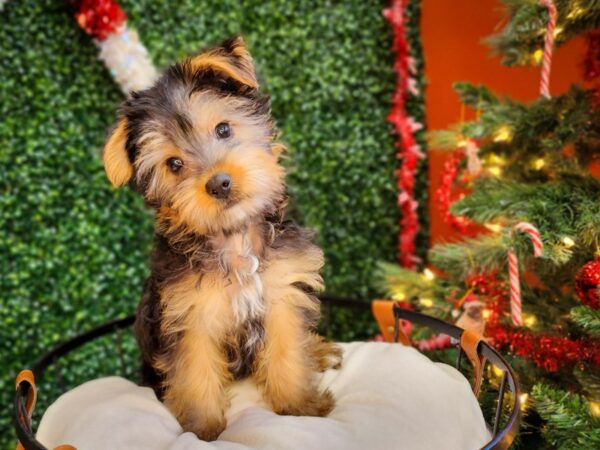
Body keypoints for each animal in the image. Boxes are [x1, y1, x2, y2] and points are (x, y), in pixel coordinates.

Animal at [101, 37, 340, 440]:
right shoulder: (189, 314)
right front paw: (203, 430)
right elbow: (195, 371)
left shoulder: (282, 292)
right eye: (174, 165)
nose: (219, 183)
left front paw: (299, 407)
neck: (235, 236)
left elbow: (288, 350)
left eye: (224, 129)